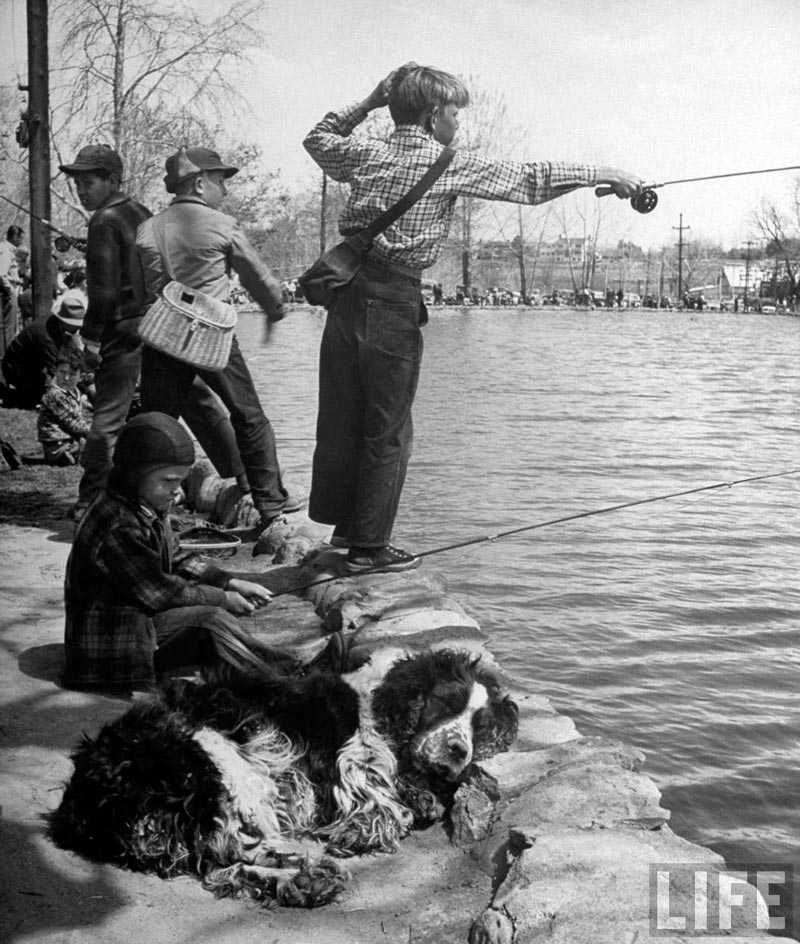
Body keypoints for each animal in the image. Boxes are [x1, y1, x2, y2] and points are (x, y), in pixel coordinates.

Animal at [50, 648, 520, 908]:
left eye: (479, 725)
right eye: (445, 703)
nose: (460, 751)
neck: (378, 703)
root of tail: (82, 802)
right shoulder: (351, 765)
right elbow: (385, 809)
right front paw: (375, 824)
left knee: (224, 862)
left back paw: (305, 880)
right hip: (226, 760)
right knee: (229, 854)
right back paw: (304, 873)